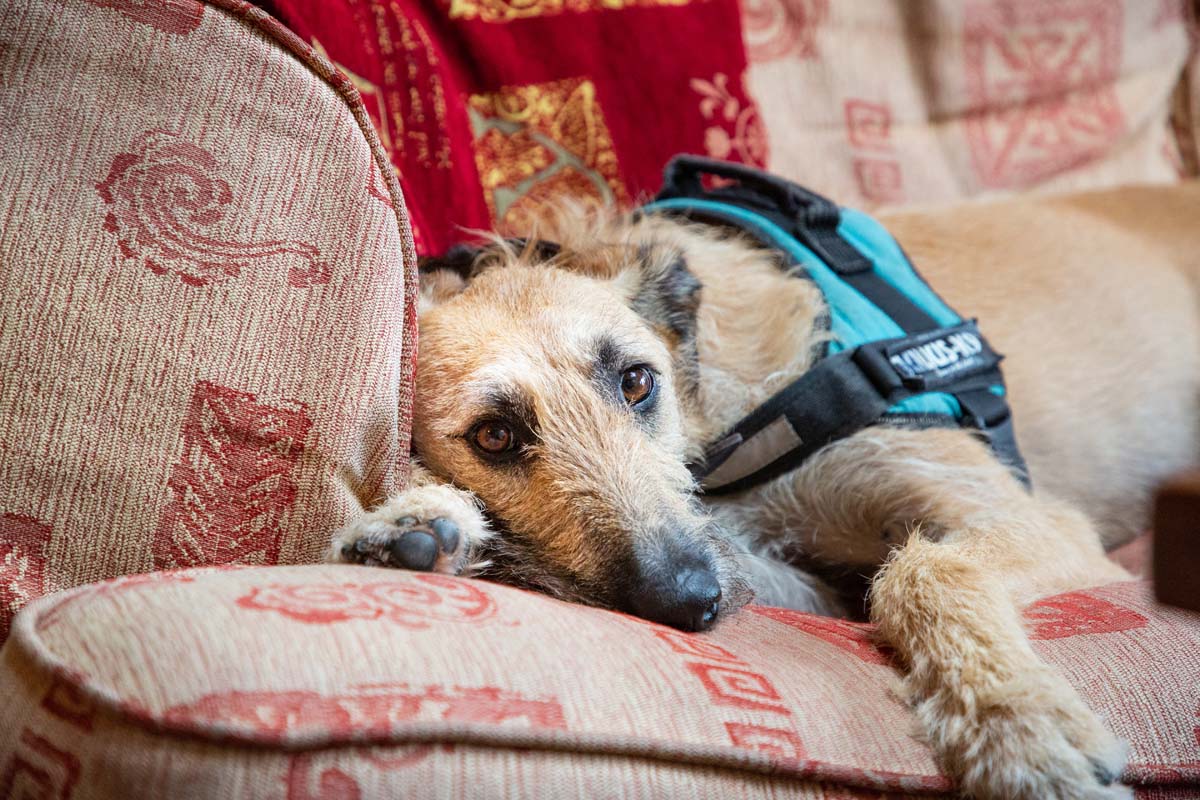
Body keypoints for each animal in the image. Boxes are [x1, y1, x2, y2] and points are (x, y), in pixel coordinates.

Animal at [328, 183, 1200, 800]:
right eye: (495, 437)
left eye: (637, 381)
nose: (687, 602)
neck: (725, 416)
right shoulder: (789, 575)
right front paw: (421, 521)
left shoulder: (1030, 518)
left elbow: (925, 568)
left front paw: (1017, 723)